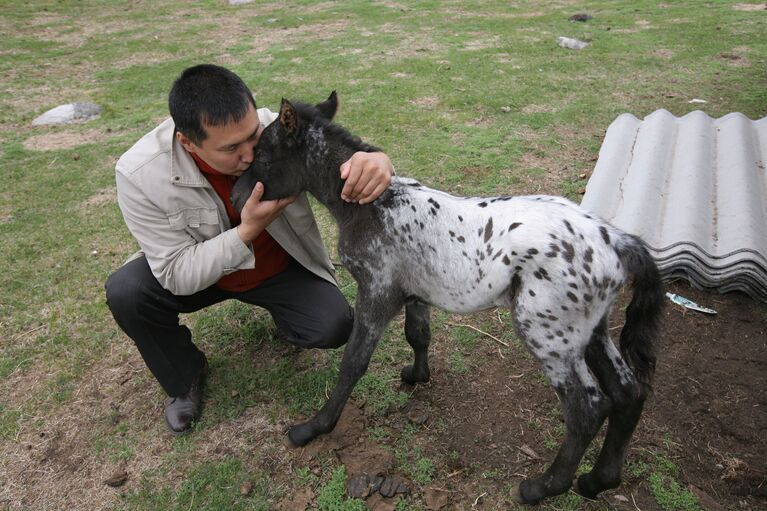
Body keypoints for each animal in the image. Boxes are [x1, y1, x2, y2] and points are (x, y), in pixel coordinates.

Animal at [231, 93, 664, 504]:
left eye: (263, 156)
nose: (237, 199)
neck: (374, 205)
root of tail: (616, 241)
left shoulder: (377, 292)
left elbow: (353, 363)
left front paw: (314, 427)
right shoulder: (415, 293)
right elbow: (418, 335)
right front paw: (416, 376)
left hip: (547, 333)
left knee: (587, 408)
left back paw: (541, 488)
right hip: (592, 329)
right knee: (628, 392)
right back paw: (597, 481)